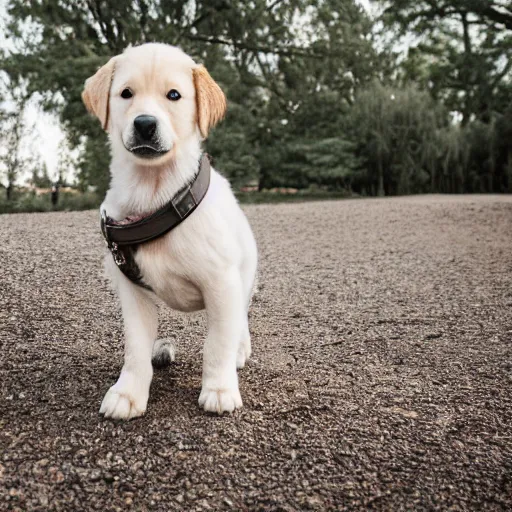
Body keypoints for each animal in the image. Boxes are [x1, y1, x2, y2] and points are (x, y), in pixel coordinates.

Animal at [82, 43, 258, 420]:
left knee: (239, 321)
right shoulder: (132, 291)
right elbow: (134, 348)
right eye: (126, 93)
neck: (156, 196)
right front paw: (128, 392)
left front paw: (219, 389)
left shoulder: (222, 283)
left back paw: (239, 350)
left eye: (174, 95)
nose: (145, 124)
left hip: (246, 276)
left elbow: (217, 344)